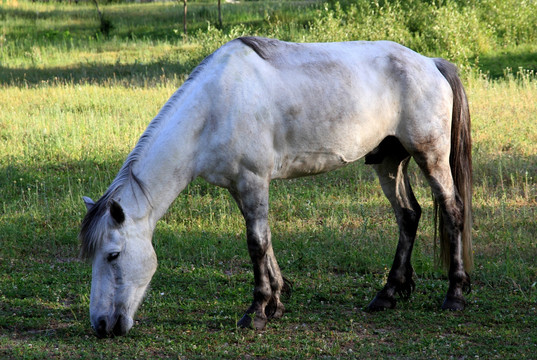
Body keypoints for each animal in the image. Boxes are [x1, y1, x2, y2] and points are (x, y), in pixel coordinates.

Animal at [78, 37, 468, 338]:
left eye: (113, 255)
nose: (102, 325)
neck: (215, 107)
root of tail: (431, 63)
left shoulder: (253, 180)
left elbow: (256, 244)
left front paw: (257, 312)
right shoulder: (239, 186)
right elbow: (265, 242)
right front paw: (277, 302)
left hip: (430, 155)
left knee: (452, 211)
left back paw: (455, 295)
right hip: (389, 161)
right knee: (408, 215)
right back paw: (387, 295)